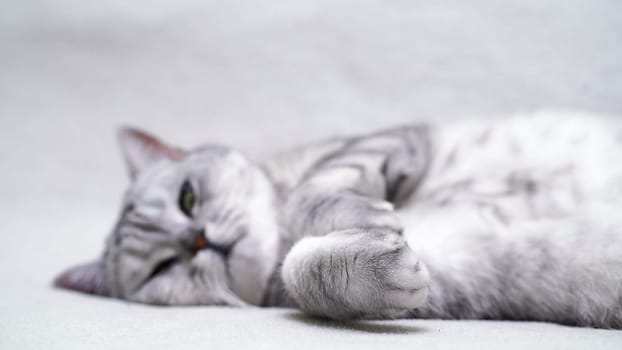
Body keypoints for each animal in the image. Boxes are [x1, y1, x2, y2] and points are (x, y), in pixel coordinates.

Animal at [54, 113, 622, 330]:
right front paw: (384, 253)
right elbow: (300, 268)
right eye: (162, 269)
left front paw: (364, 212)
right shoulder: (459, 269)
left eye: (187, 197)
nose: (199, 239)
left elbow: (311, 192)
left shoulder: (388, 141)